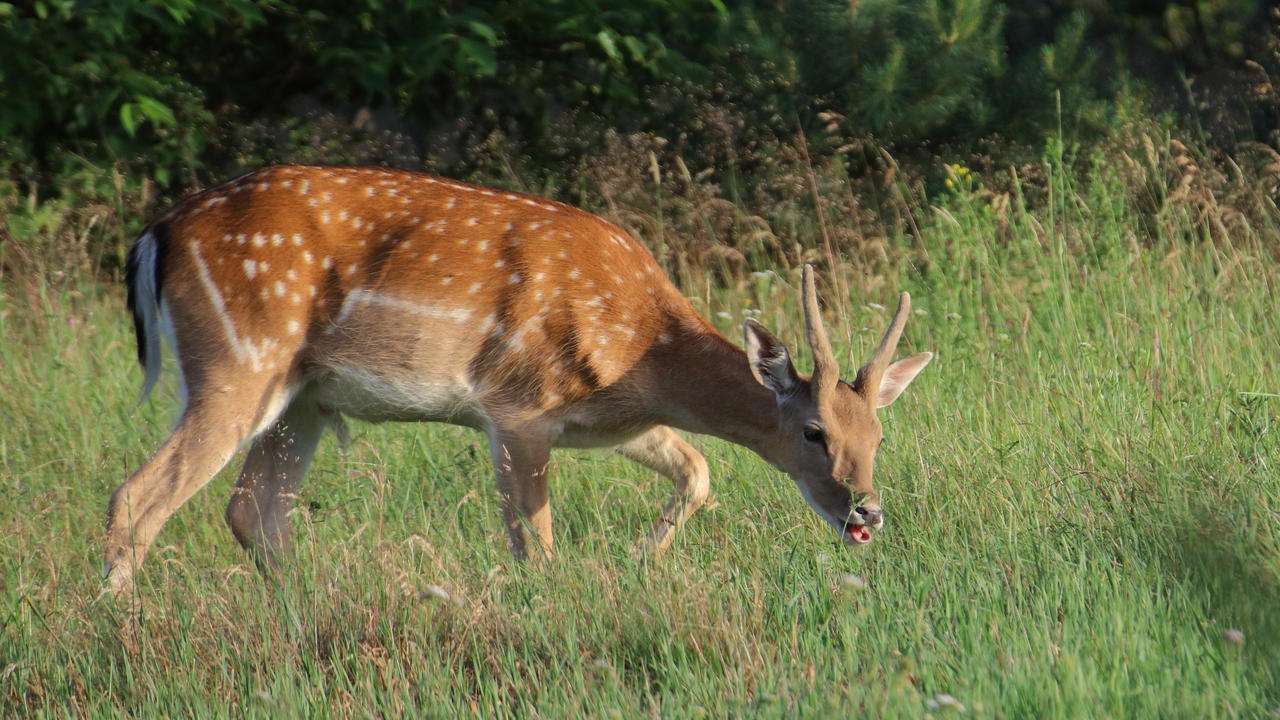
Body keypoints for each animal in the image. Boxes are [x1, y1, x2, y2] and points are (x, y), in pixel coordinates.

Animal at [104, 163, 931, 589]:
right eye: (814, 431)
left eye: (879, 435)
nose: (867, 510)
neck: (643, 348)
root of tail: (157, 234)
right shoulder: (519, 408)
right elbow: (536, 542)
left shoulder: (609, 421)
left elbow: (697, 470)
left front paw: (641, 560)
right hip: (237, 360)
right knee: (137, 498)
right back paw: (122, 631)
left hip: (301, 397)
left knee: (253, 510)